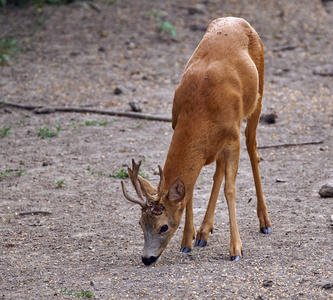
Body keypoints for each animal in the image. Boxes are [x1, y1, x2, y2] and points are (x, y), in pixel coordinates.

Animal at [120, 17, 272, 264]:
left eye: (163, 227)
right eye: (141, 224)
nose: (147, 258)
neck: (201, 109)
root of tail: (239, 20)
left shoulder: (233, 137)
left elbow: (230, 190)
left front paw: (236, 249)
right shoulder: (178, 122)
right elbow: (189, 191)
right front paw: (186, 242)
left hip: (257, 97)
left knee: (253, 150)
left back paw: (265, 222)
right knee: (218, 170)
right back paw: (203, 232)